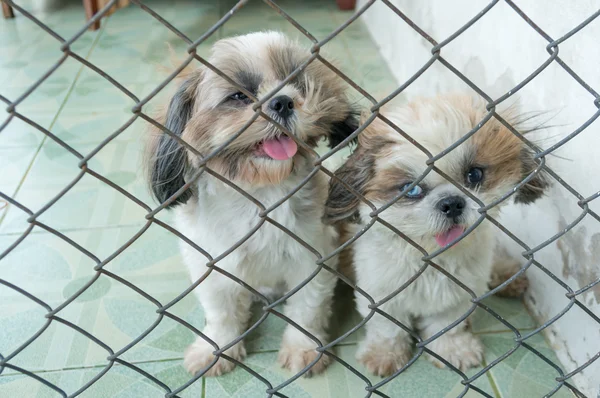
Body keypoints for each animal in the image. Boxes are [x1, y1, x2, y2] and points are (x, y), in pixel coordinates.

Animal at [146, 31, 358, 376]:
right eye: (239, 96)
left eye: (298, 85)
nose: (282, 101)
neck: (258, 195)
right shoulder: (212, 264)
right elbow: (221, 314)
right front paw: (215, 349)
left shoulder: (311, 259)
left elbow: (307, 308)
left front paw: (303, 348)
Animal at [324, 94, 548, 376]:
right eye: (411, 189)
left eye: (474, 174)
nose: (451, 203)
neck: (431, 258)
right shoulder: (380, 295)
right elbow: (388, 329)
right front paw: (384, 354)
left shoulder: (457, 295)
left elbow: (447, 325)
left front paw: (452, 349)